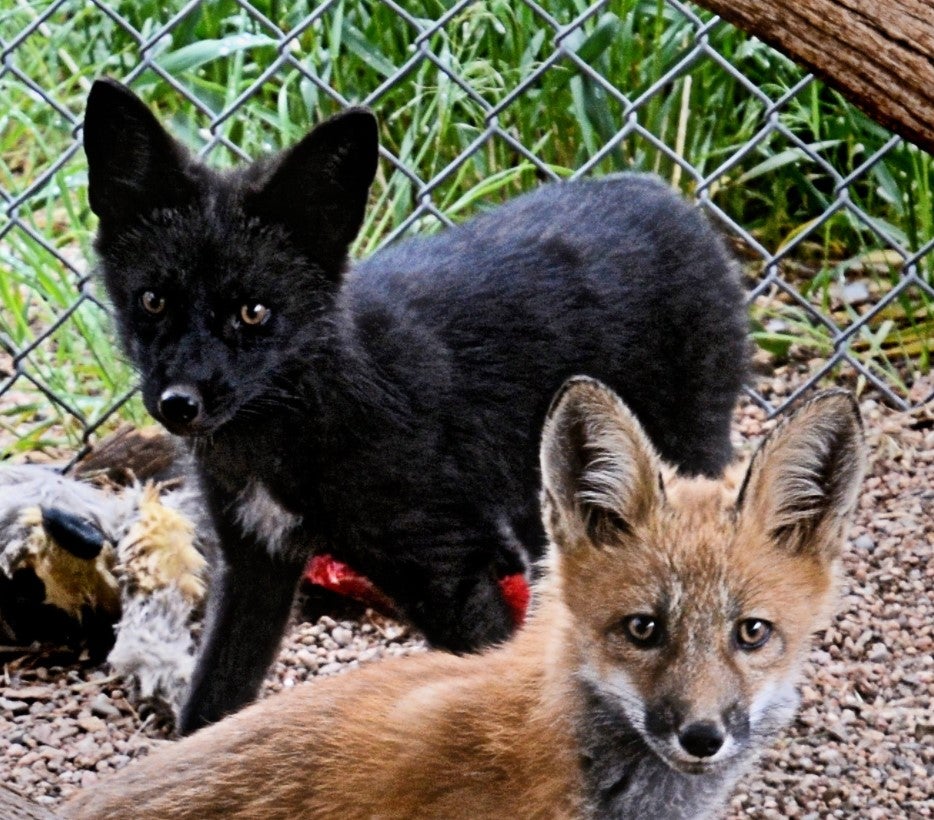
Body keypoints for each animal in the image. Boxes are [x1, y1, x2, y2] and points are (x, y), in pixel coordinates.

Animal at [82, 78, 748, 734]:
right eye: (152, 301)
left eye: (254, 312)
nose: (179, 404)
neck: (304, 416)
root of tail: (666, 197)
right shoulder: (254, 566)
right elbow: (211, 705)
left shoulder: (451, 566)